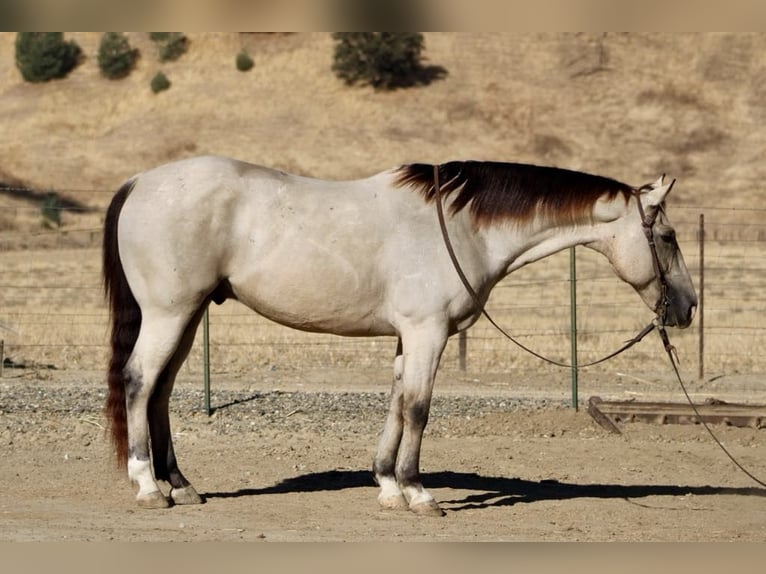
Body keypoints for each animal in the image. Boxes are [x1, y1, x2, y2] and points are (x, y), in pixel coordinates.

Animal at [105, 156, 700, 516]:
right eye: (669, 236)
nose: (689, 307)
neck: (461, 226)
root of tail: (141, 182)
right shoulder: (427, 333)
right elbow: (418, 408)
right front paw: (418, 492)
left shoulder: (407, 338)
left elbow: (395, 404)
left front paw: (388, 486)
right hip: (169, 313)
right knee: (139, 381)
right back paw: (149, 487)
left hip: (187, 317)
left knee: (160, 390)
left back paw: (181, 483)